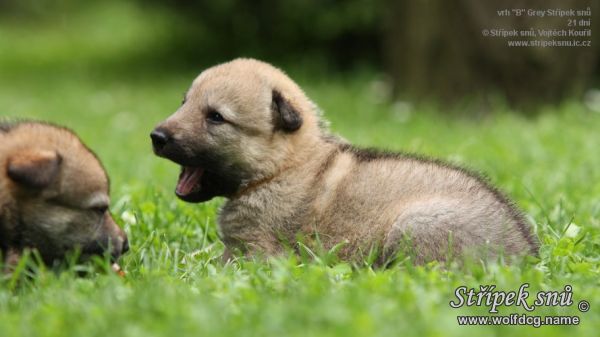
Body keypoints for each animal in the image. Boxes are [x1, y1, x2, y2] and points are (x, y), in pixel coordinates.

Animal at [151, 59, 540, 264]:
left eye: (215, 117)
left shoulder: (254, 252)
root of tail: (524, 253)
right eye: (184, 102)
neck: (282, 167)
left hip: (416, 224)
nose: (156, 136)